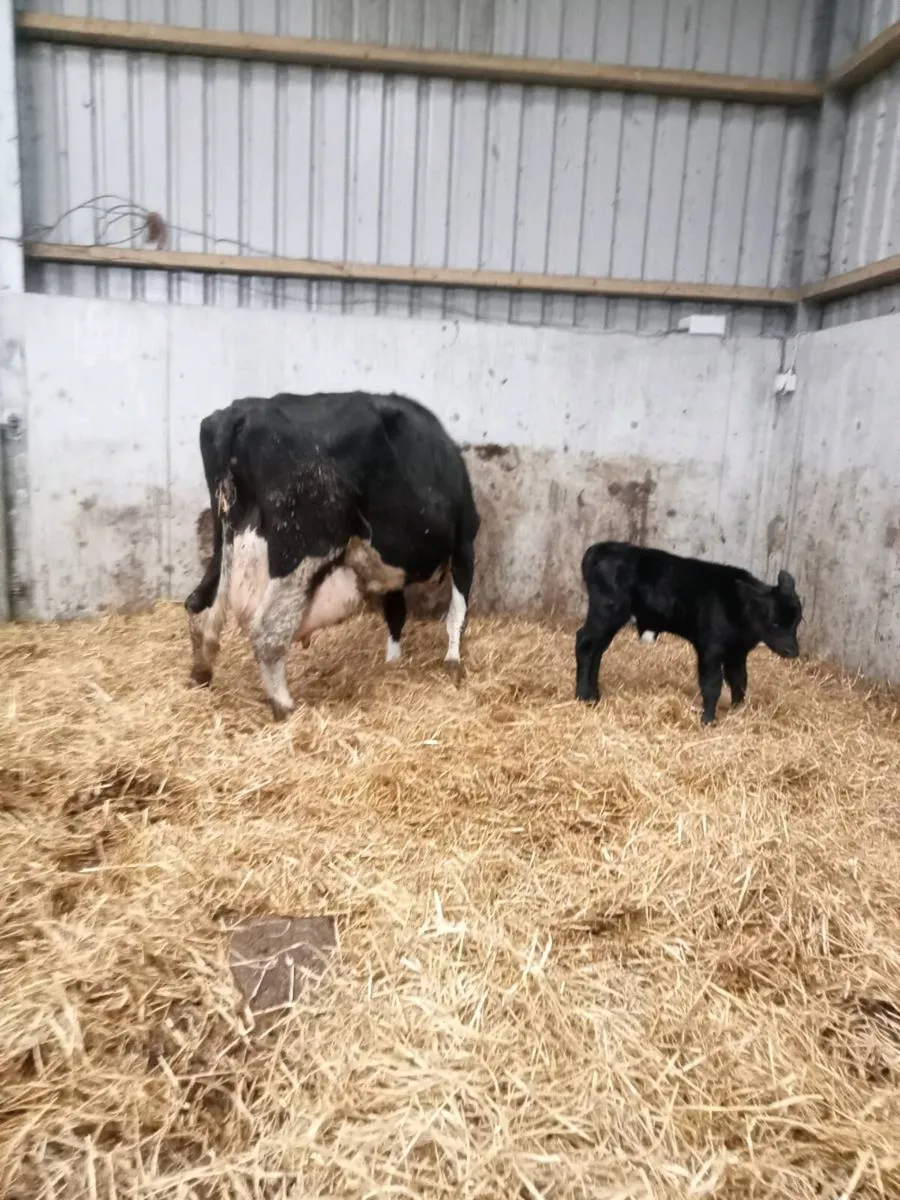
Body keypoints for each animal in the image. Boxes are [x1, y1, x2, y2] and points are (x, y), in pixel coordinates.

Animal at [184, 391, 480, 720]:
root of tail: (243, 412)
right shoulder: (465, 543)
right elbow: (457, 612)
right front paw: (453, 663)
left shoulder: (392, 572)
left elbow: (396, 615)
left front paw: (393, 664)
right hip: (303, 548)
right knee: (268, 631)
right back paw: (283, 704)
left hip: (224, 536)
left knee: (199, 606)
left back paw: (201, 672)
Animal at [575, 541, 802, 725]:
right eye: (774, 623)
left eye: (797, 621)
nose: (792, 651)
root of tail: (599, 549)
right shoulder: (710, 648)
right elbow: (712, 683)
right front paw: (708, 720)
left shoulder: (737, 653)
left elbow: (739, 681)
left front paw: (738, 711)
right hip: (606, 612)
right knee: (585, 643)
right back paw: (582, 697)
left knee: (597, 651)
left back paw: (594, 697)